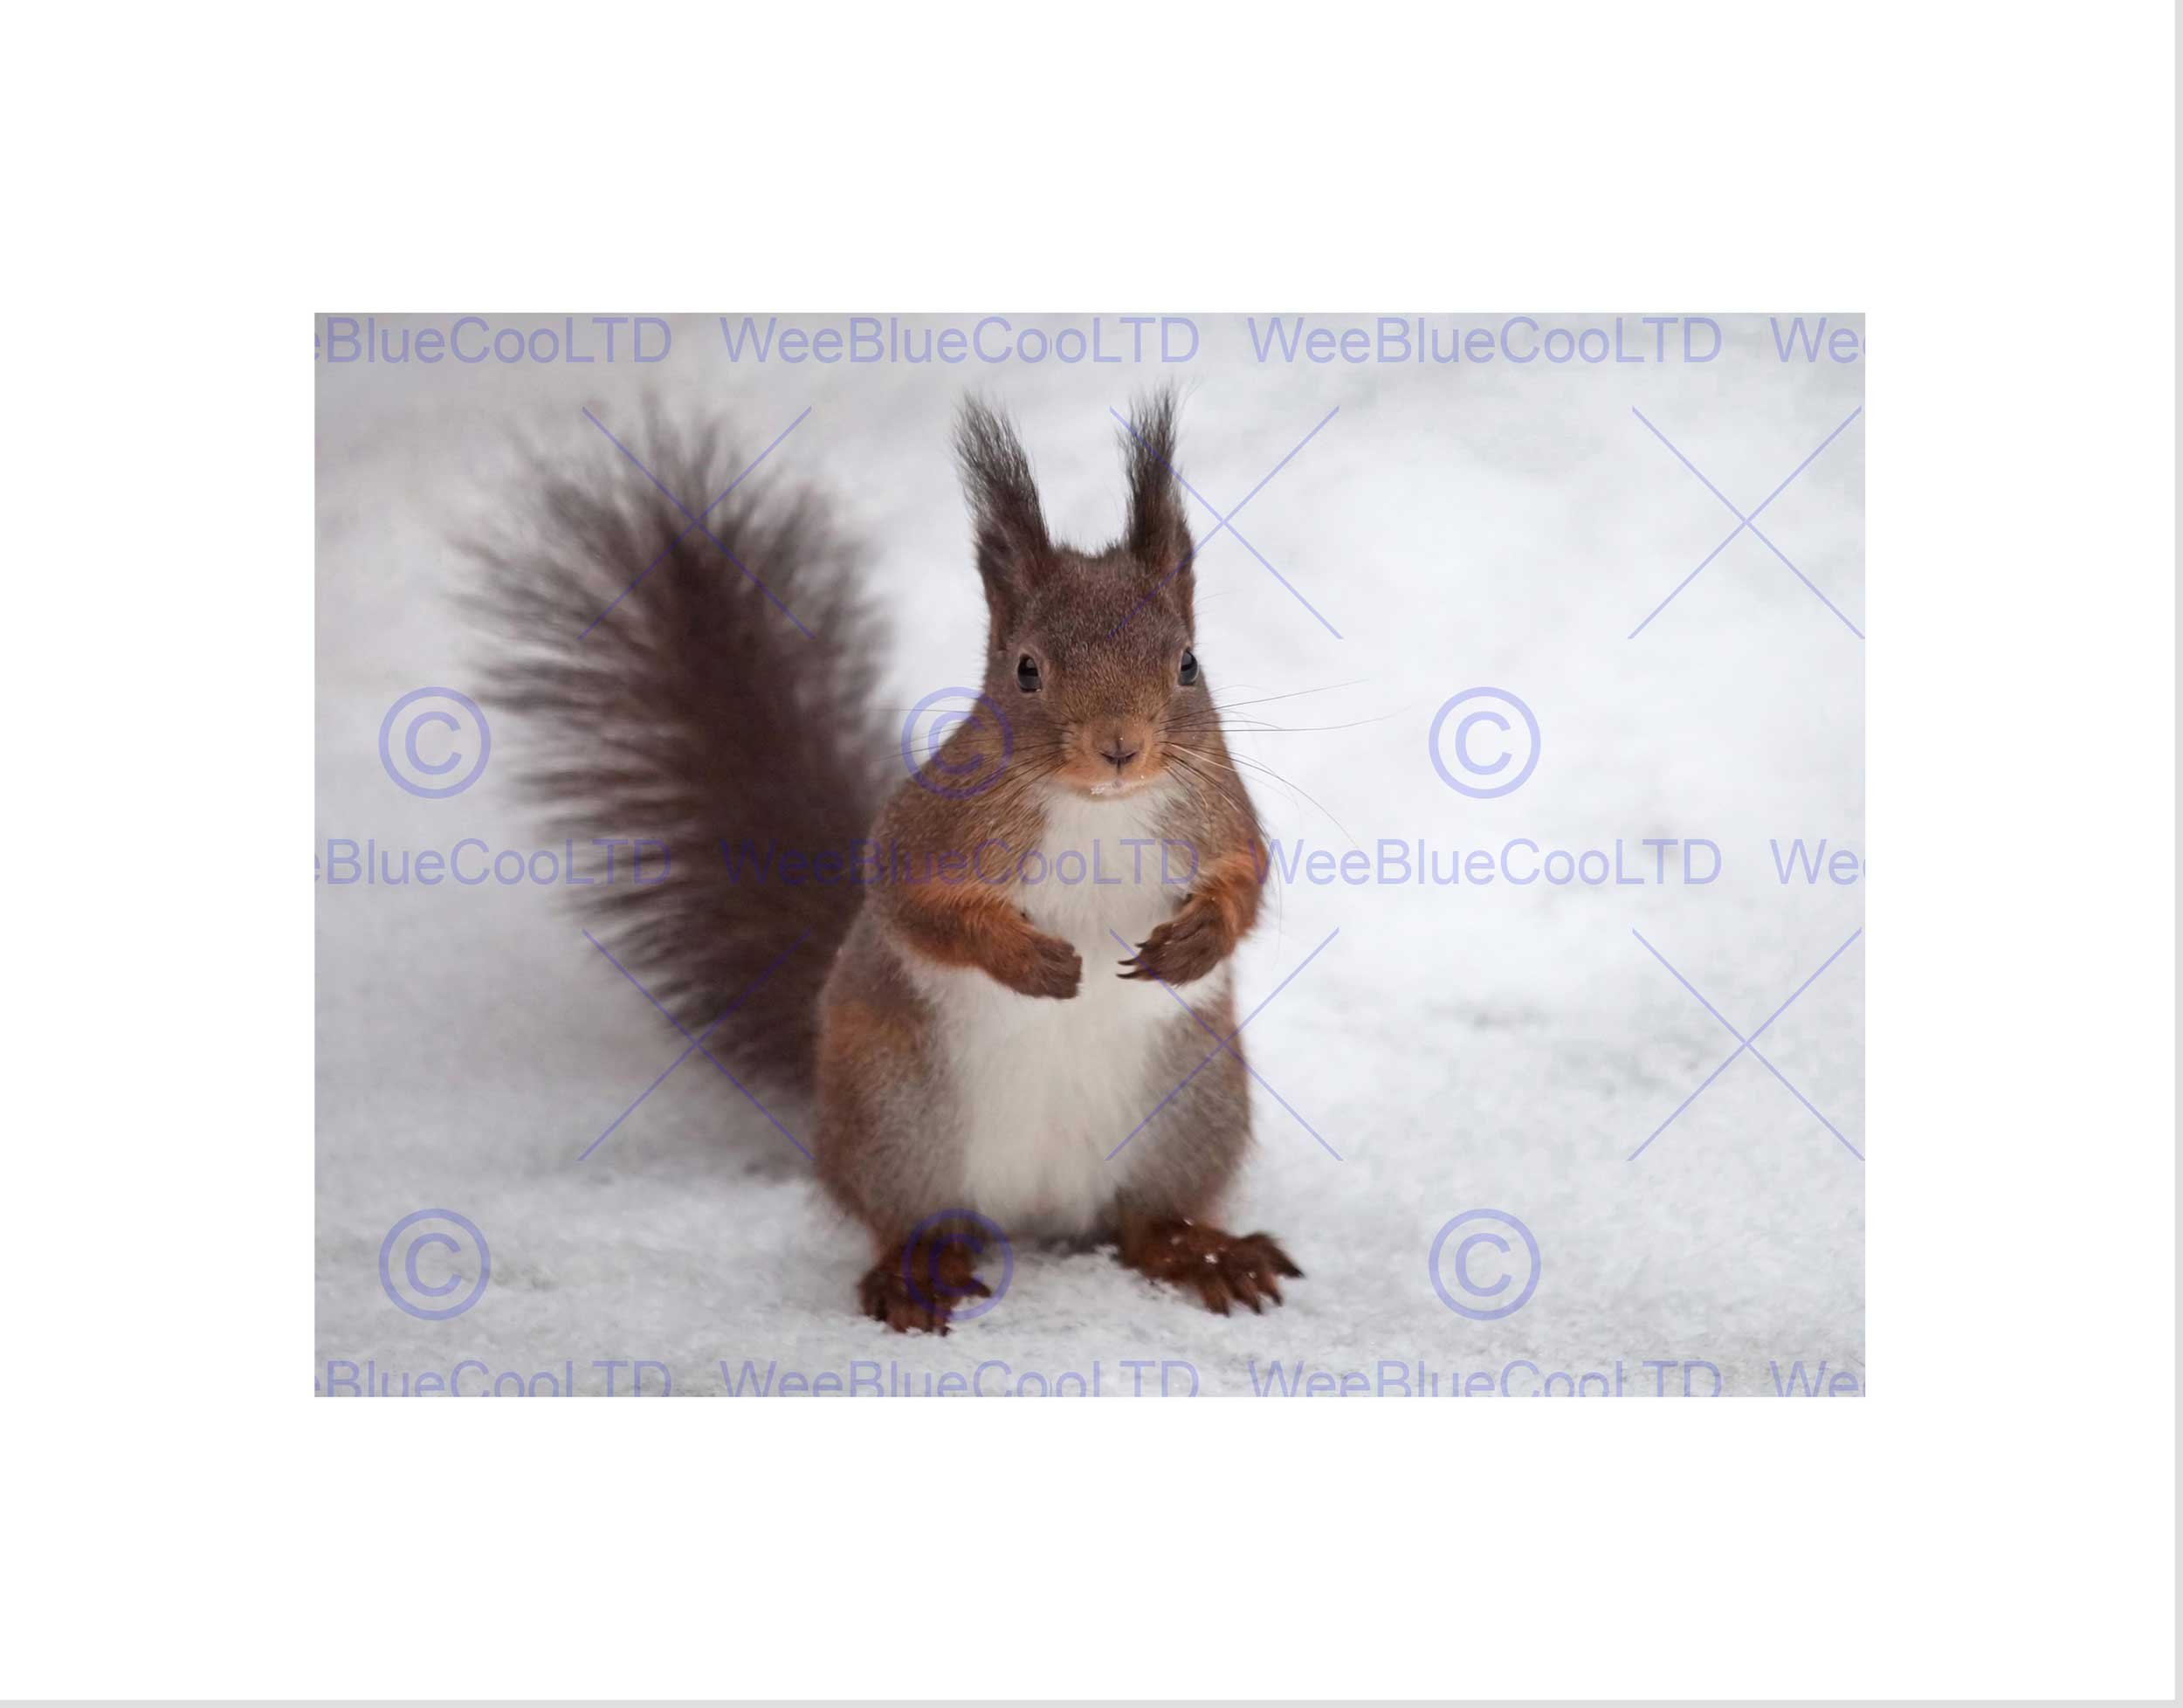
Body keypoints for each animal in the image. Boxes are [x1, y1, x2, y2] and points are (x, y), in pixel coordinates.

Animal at [475, 390, 1300, 1333]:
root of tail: (1036, 1212)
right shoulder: (927, 830)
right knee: (905, 1216)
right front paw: (1029, 959)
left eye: (1188, 664)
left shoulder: (1220, 817)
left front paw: (1196, 942)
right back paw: (917, 1269)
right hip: (894, 1119)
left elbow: (1248, 880)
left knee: (1145, 1223)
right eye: (1026, 670)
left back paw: (1203, 1252)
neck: (1100, 809)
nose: (1119, 746)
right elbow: (914, 904)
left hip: (1190, 1114)